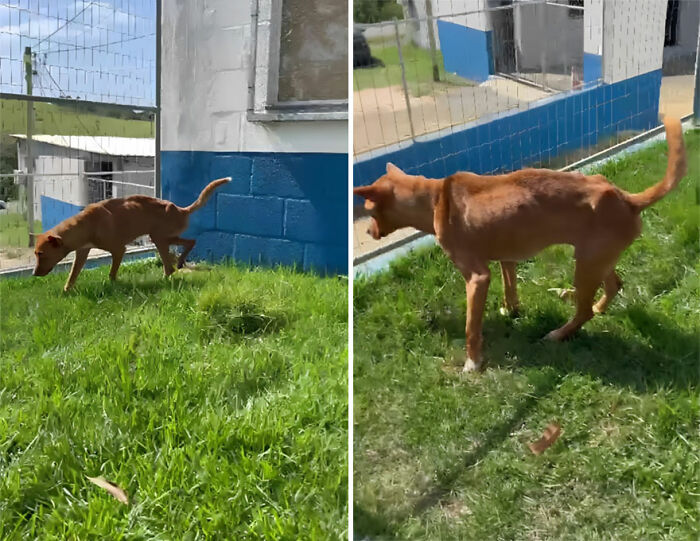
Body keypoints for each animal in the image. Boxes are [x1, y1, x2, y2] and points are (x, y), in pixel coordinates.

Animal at [32, 177, 231, 288]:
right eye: (35, 254)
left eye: (41, 254)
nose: (33, 274)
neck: (87, 224)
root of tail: (181, 209)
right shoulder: (82, 252)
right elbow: (73, 275)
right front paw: (67, 291)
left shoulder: (119, 250)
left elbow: (112, 274)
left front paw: (113, 286)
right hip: (165, 237)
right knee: (190, 243)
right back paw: (180, 262)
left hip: (159, 238)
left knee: (170, 266)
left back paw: (166, 277)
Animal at [352, 118, 688, 372]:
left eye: (369, 210)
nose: (367, 231)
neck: (434, 198)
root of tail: (626, 198)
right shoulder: (506, 258)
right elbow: (509, 286)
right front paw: (510, 310)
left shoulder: (477, 277)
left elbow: (471, 327)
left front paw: (473, 363)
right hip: (596, 259)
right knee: (614, 284)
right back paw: (598, 306)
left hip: (586, 264)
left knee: (584, 313)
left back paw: (560, 333)